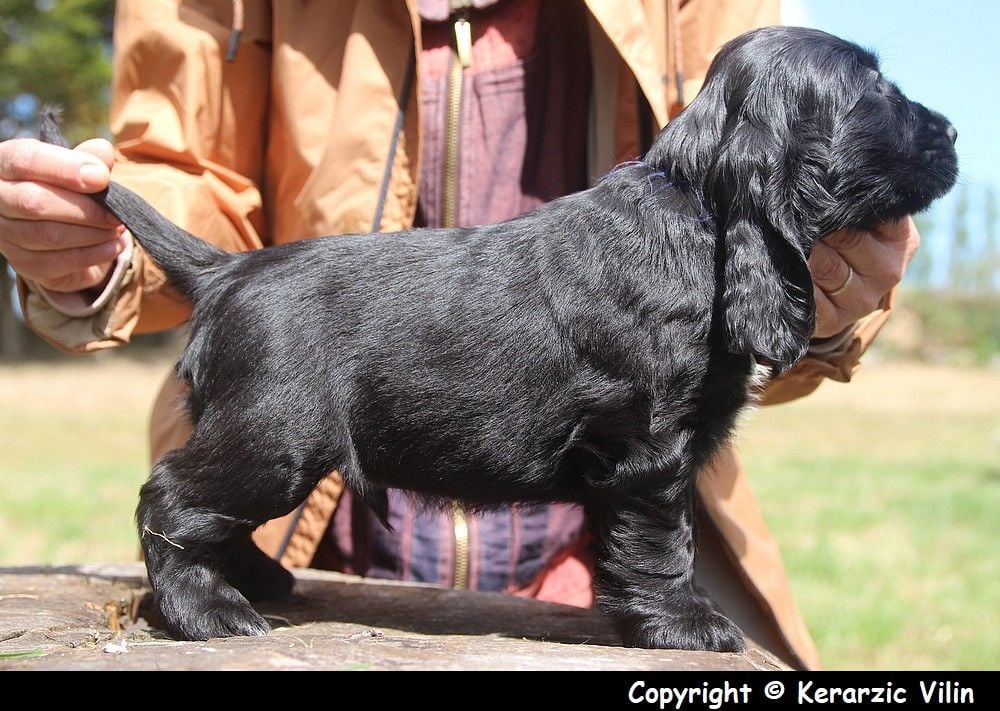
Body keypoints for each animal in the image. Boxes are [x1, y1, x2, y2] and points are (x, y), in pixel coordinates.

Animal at [43, 26, 956, 652]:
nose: (950, 132)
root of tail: (228, 270)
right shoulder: (650, 448)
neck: (696, 208)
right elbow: (665, 540)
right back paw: (210, 610)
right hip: (276, 437)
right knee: (167, 497)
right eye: (876, 89)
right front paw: (686, 623)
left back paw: (257, 576)